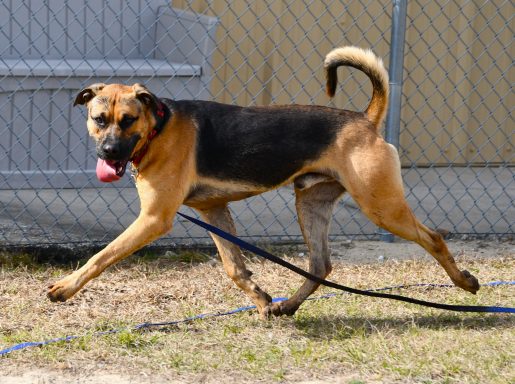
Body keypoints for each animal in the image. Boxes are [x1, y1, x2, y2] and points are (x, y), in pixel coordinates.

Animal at [47, 46, 480, 316]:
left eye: (128, 120)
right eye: (99, 119)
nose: (108, 154)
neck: (158, 130)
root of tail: (365, 120)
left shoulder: (154, 219)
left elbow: (102, 256)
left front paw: (65, 287)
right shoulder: (213, 210)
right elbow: (235, 269)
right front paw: (262, 300)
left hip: (382, 206)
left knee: (434, 238)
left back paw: (465, 281)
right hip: (311, 204)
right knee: (321, 265)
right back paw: (289, 306)